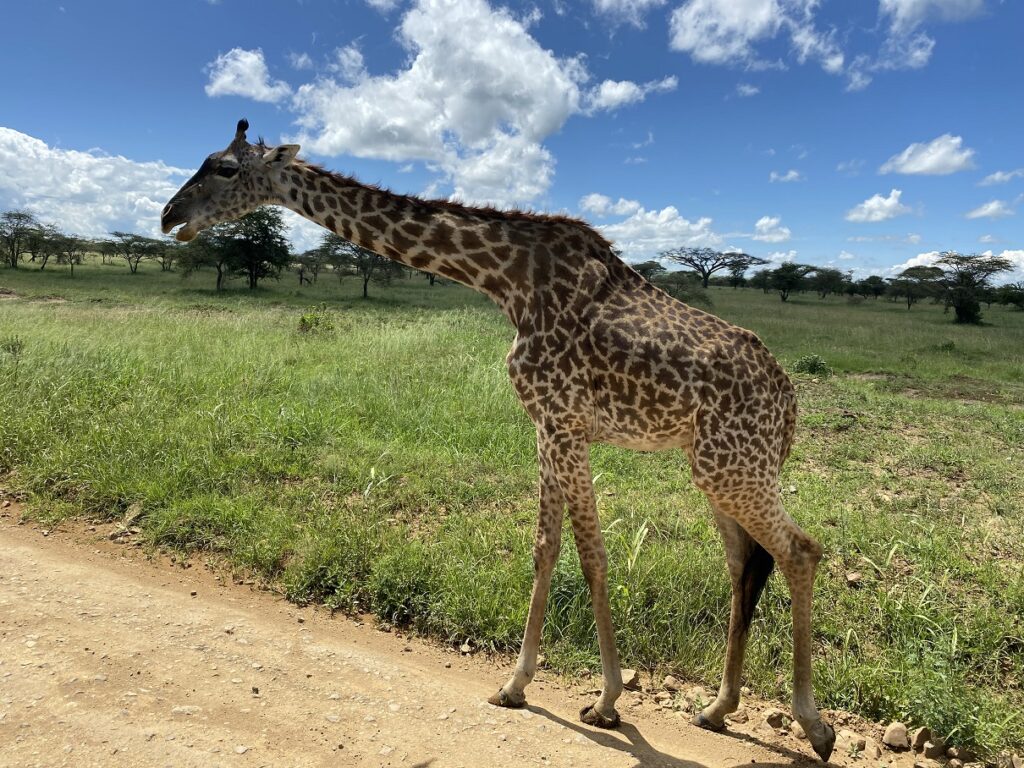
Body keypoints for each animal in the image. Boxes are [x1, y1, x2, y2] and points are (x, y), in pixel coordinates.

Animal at [162, 120, 836, 762]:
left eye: (225, 168)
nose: (169, 216)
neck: (506, 280)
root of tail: (790, 402)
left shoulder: (564, 422)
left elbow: (592, 555)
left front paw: (606, 700)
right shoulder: (546, 424)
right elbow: (546, 547)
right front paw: (515, 685)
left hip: (731, 466)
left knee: (800, 550)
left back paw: (813, 725)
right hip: (719, 468)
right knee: (746, 565)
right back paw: (718, 709)